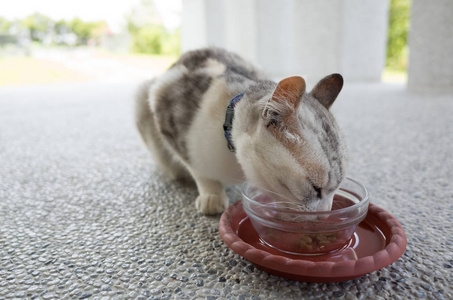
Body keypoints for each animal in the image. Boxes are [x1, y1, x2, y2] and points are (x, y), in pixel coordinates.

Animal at [134, 48, 346, 214]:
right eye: (316, 188)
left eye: (338, 188)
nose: (327, 213)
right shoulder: (163, 104)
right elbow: (199, 171)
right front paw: (212, 194)